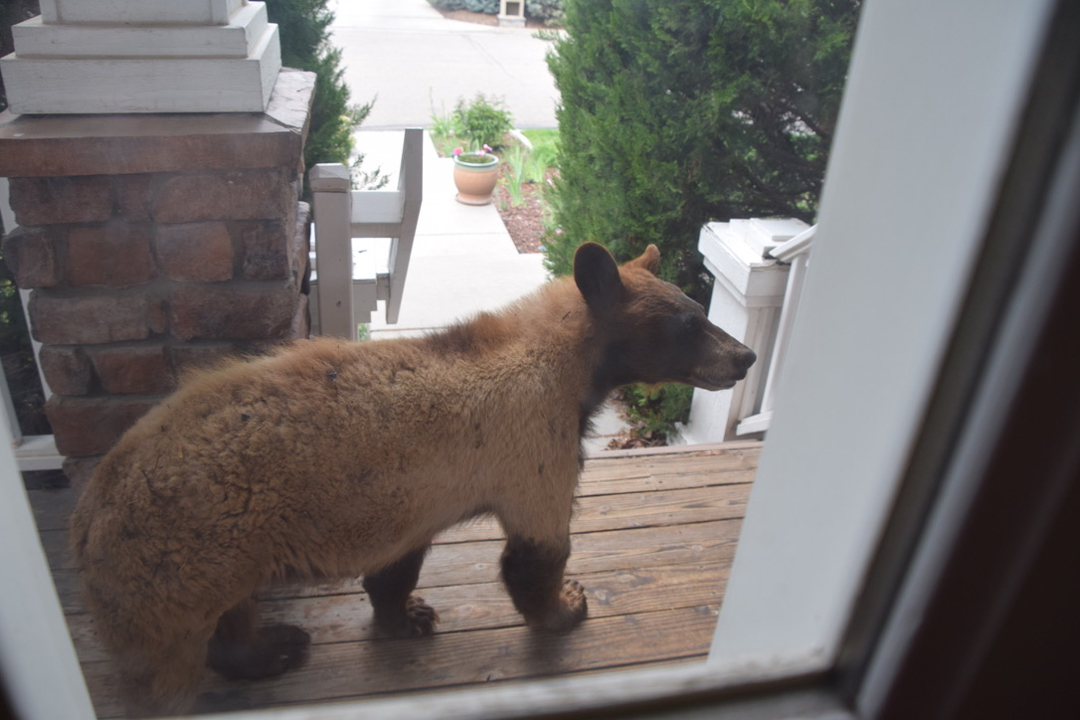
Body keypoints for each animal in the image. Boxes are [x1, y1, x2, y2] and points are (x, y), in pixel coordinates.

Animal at [71, 241, 756, 716]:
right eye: (690, 323)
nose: (745, 356)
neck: (572, 368)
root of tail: (89, 517)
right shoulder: (532, 438)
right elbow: (536, 548)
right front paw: (567, 603)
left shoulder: (412, 500)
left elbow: (397, 565)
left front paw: (411, 613)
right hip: (174, 567)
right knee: (167, 672)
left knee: (230, 619)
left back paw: (276, 647)